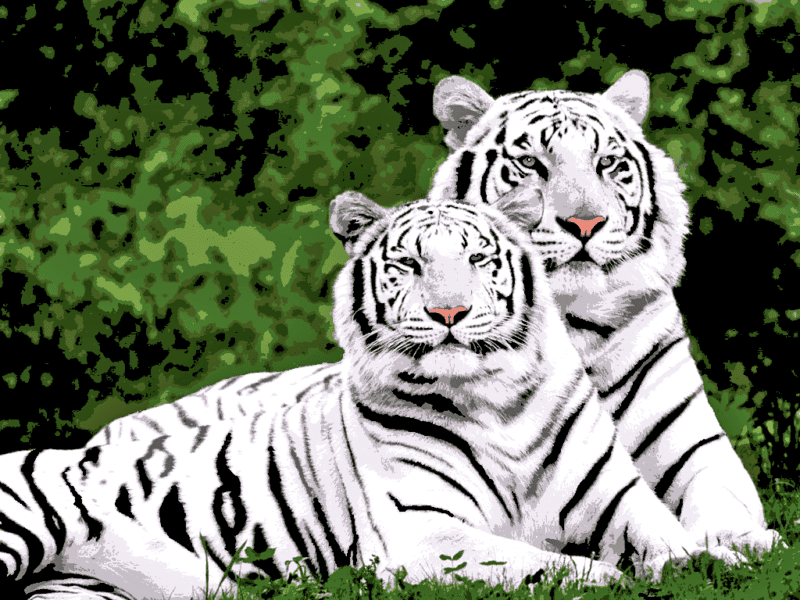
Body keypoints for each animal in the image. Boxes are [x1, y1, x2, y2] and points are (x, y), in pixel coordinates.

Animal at [0, 195, 749, 600]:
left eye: (478, 259)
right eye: (408, 264)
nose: (449, 312)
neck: (497, 401)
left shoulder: (621, 502)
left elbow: (676, 543)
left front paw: (721, 561)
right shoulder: (425, 531)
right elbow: (551, 566)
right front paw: (616, 578)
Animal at [427, 69, 784, 557]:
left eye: (608, 163)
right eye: (531, 164)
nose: (585, 224)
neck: (576, 323)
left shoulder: (696, 444)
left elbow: (721, 497)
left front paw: (744, 544)